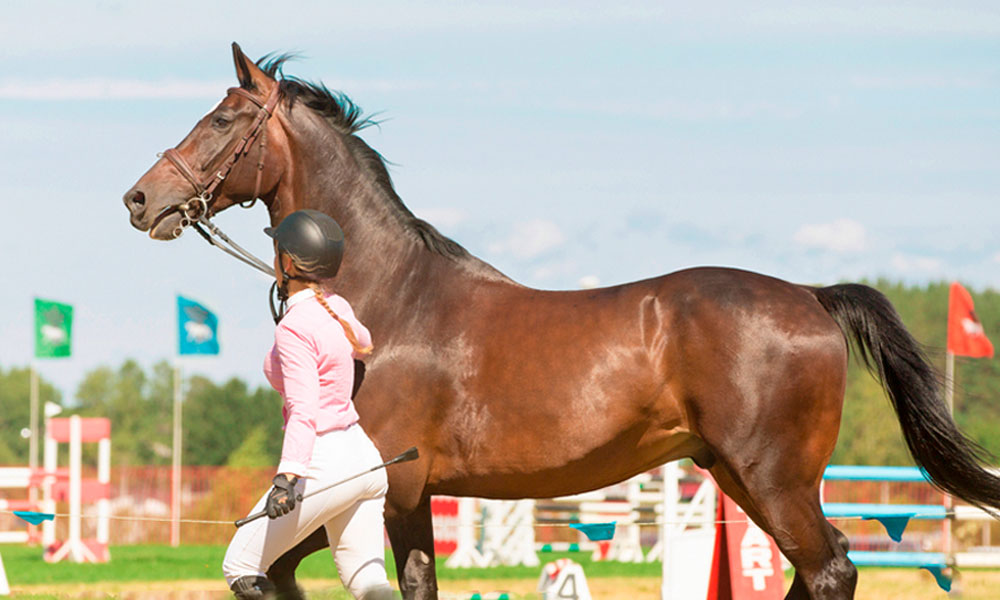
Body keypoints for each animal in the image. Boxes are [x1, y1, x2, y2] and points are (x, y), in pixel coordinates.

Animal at [125, 44, 1000, 596]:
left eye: (223, 121)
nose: (141, 199)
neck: (387, 295)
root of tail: (812, 294)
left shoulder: (379, 487)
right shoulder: (405, 498)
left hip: (773, 479)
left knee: (829, 570)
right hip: (738, 476)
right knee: (826, 566)